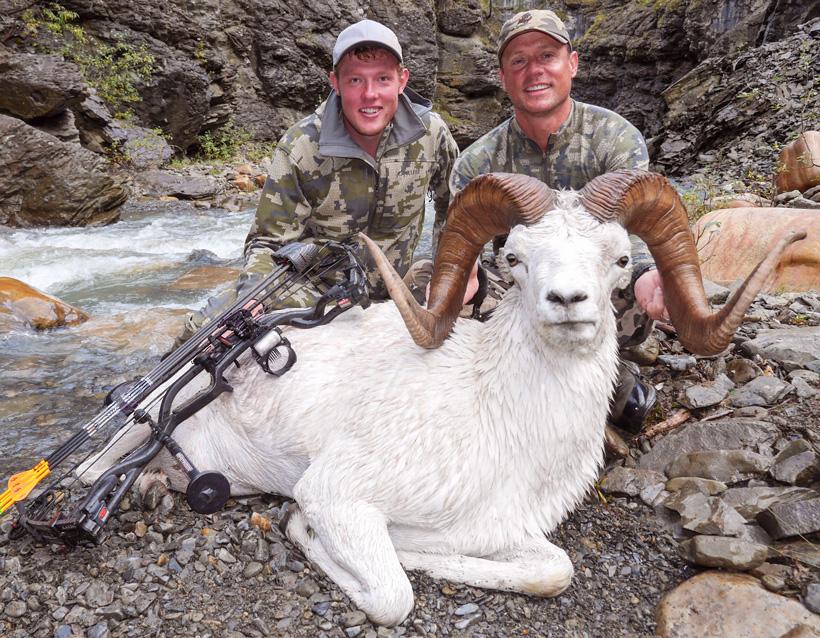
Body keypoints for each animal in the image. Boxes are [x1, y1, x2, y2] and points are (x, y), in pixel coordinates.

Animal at [78, 170, 803, 627]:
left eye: (621, 259)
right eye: (515, 258)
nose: (567, 302)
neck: (502, 420)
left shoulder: (524, 536)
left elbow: (553, 571)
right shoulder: (336, 496)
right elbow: (393, 593)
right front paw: (323, 535)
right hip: (130, 435)